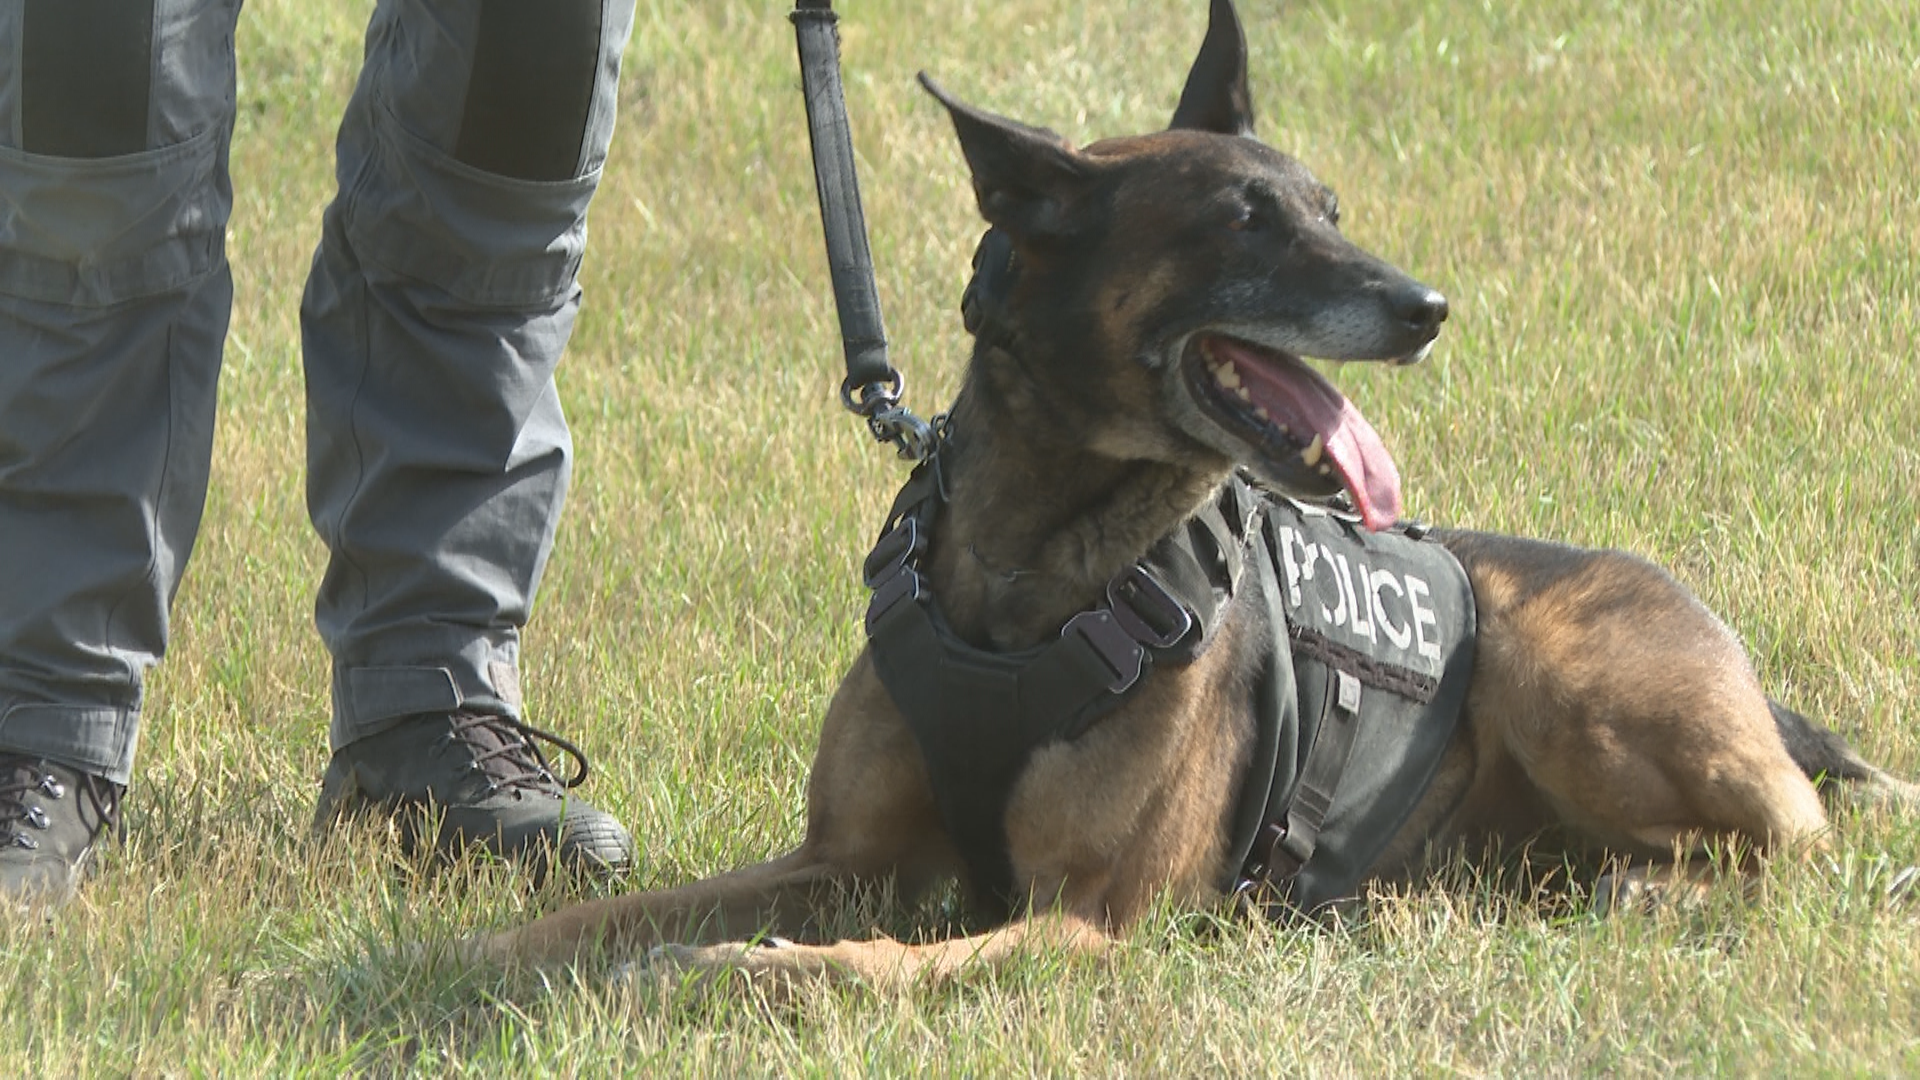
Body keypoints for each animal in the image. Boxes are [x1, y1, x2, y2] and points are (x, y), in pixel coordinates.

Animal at [472, 0, 1912, 983]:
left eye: (1329, 206)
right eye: (1242, 220)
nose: (1428, 308)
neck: (1031, 575)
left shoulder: (1092, 919)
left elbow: (871, 965)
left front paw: (752, 976)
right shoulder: (840, 859)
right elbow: (608, 913)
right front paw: (497, 953)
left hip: (1560, 677)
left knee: (1793, 845)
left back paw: (1651, 892)